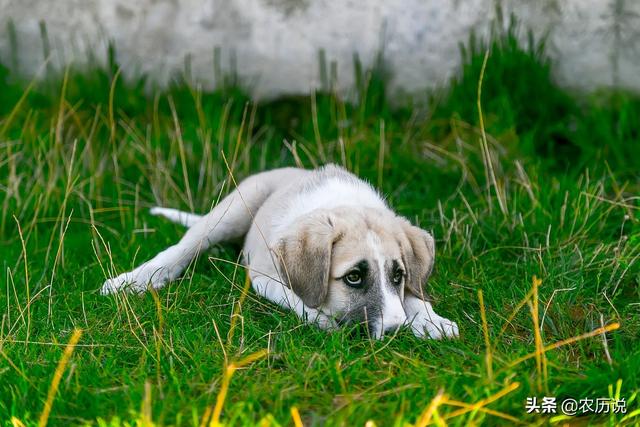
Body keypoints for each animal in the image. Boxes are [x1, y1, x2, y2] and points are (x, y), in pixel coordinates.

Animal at [102, 166, 458, 340]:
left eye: (398, 275)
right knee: (185, 246)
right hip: (234, 208)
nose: (397, 331)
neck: (343, 204)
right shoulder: (264, 276)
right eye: (354, 277)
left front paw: (431, 320)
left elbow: (413, 295)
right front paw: (323, 319)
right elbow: (299, 299)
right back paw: (134, 280)